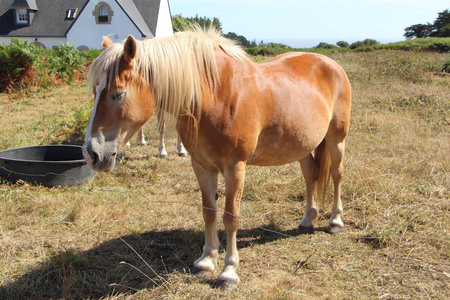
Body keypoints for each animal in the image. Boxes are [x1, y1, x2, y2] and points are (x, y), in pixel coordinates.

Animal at [81, 28, 352, 290]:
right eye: (95, 91)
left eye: (118, 93)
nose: (92, 154)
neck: (213, 95)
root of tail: (330, 63)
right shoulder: (202, 166)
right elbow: (209, 212)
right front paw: (206, 261)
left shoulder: (235, 168)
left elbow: (230, 217)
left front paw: (229, 272)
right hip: (303, 144)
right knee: (310, 174)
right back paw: (307, 219)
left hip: (336, 139)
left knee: (337, 175)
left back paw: (336, 221)